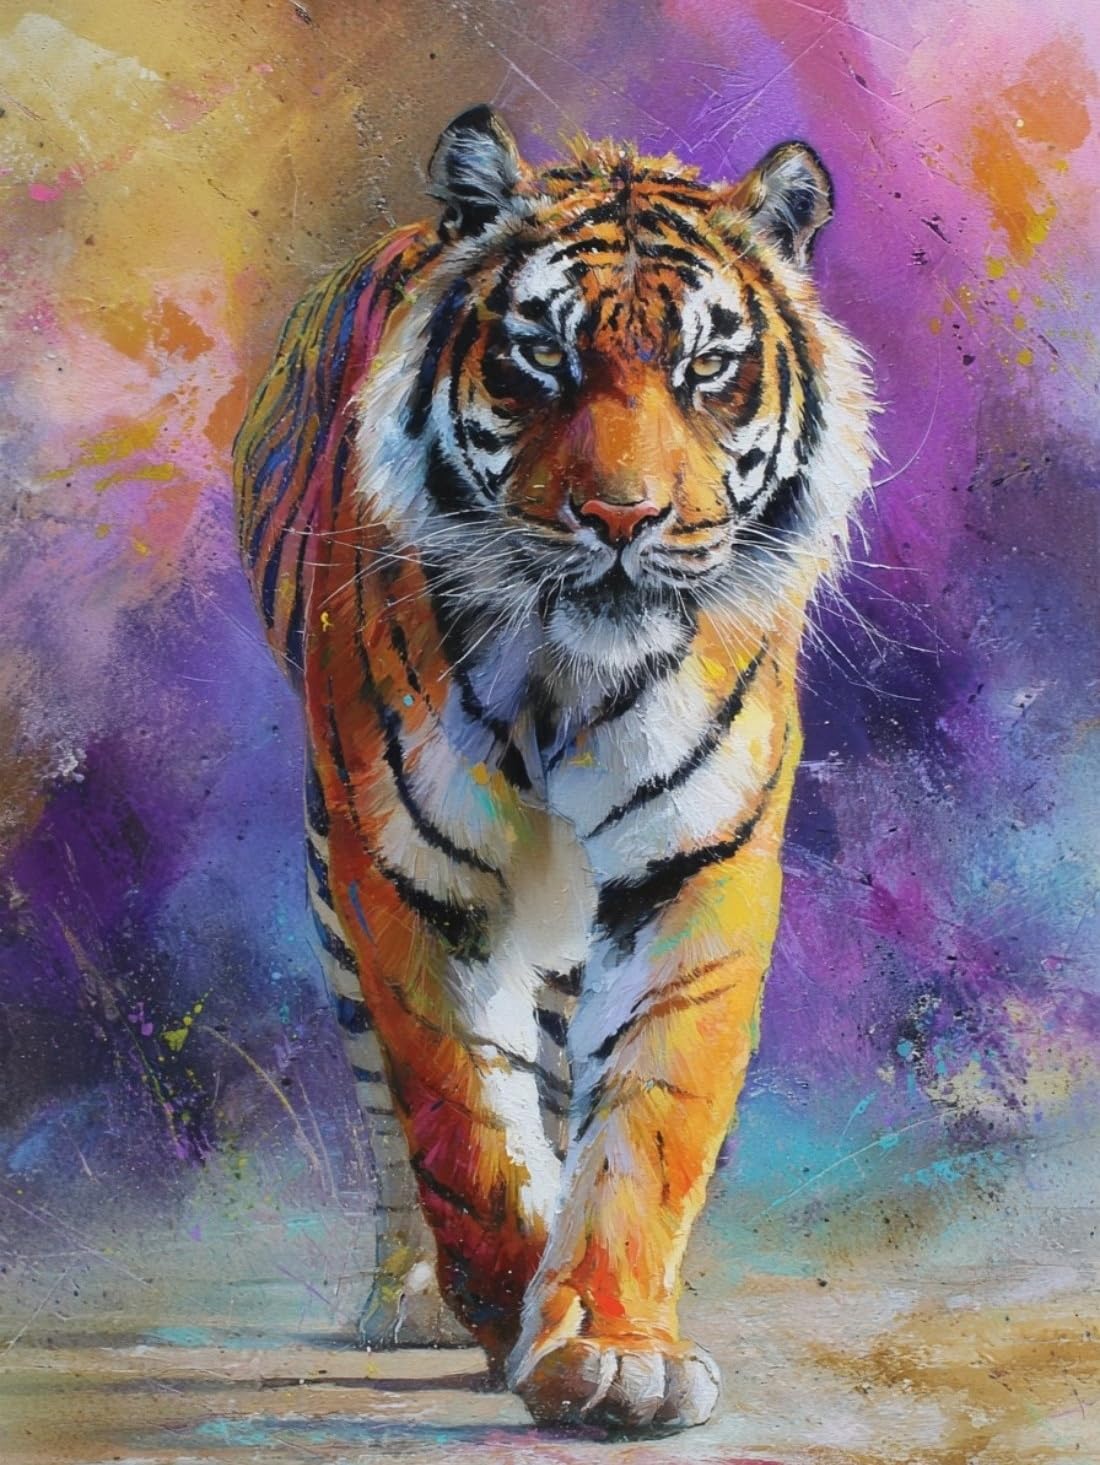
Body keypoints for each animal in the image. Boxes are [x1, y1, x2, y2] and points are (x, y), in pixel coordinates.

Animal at [233, 105, 875, 1434]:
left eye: (704, 367)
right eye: (540, 358)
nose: (621, 519)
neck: (568, 675)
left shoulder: (696, 864)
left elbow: (643, 1123)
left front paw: (609, 1347)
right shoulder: (407, 876)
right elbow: (462, 1128)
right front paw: (508, 1308)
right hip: (329, 865)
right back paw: (412, 1295)